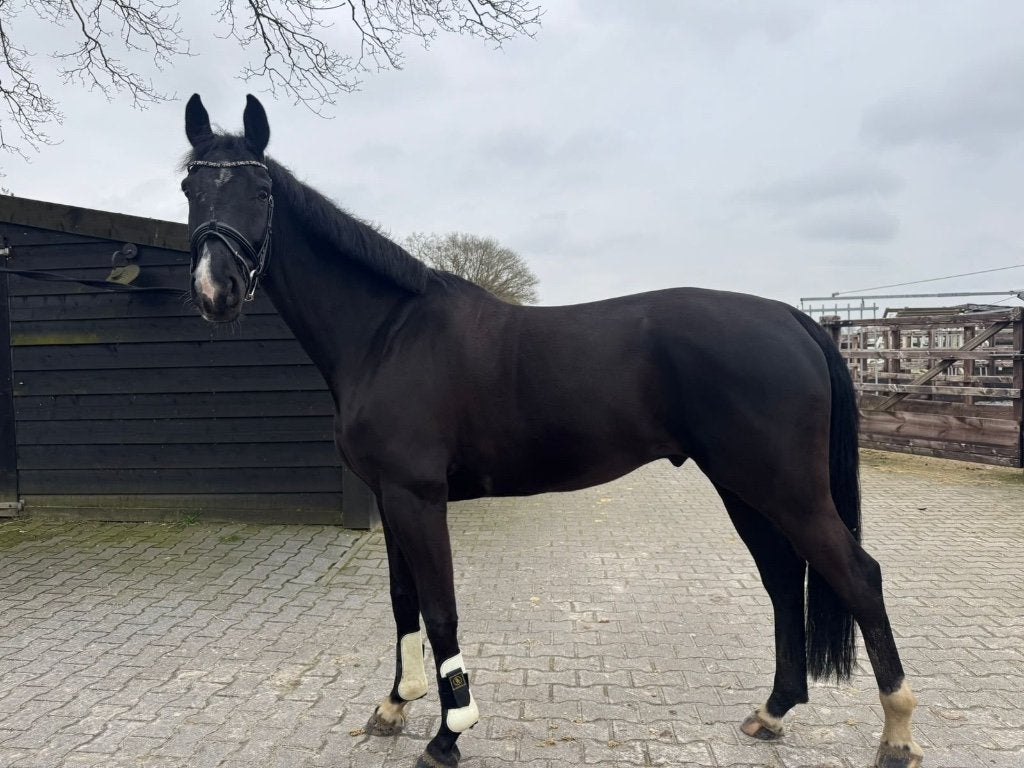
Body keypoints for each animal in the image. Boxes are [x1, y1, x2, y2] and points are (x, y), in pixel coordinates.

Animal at [180, 94, 923, 768]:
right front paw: (394, 706)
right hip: (745, 487)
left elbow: (441, 608)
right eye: (190, 186)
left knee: (858, 577)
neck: (390, 333)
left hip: (785, 488)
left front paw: (449, 735)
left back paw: (897, 734)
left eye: (261, 189)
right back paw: (772, 712)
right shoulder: (391, 498)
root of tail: (792, 319)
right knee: (783, 578)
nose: (216, 291)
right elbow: (403, 601)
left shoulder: (418, 497)